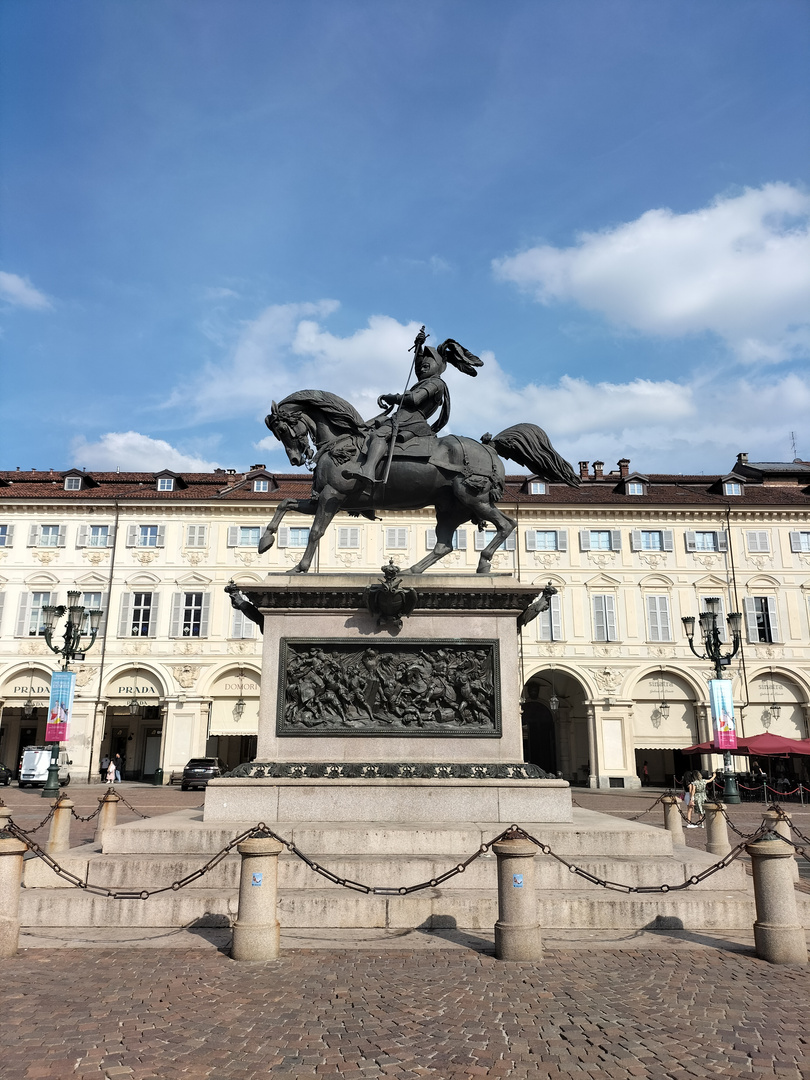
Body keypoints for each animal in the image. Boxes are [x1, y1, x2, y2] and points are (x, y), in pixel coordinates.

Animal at [257, 388, 578, 574]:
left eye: (283, 429)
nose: (296, 459)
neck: (341, 443)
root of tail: (489, 447)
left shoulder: (332, 496)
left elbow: (315, 532)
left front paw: (299, 568)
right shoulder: (321, 498)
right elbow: (284, 503)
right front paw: (264, 541)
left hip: (473, 497)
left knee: (506, 524)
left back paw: (484, 562)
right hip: (450, 508)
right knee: (444, 545)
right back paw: (411, 571)